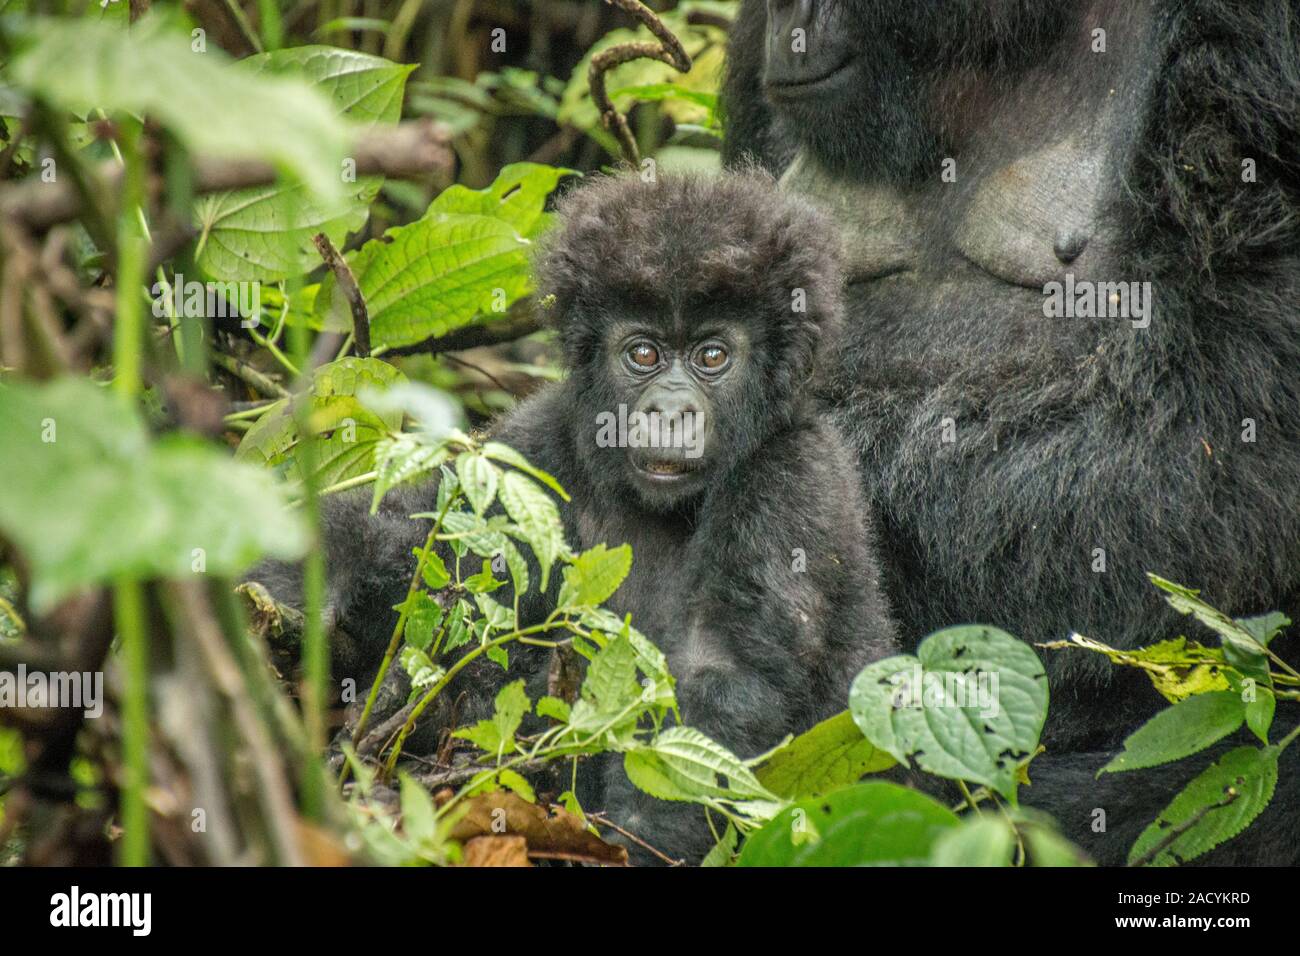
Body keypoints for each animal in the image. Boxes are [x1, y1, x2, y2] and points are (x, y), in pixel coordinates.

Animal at [258, 167, 899, 863]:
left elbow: (721, 671)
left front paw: (639, 842)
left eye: (712, 357)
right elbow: (433, 557)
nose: (668, 411)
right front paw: (301, 568)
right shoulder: (535, 440)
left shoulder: (794, 475)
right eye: (643, 355)